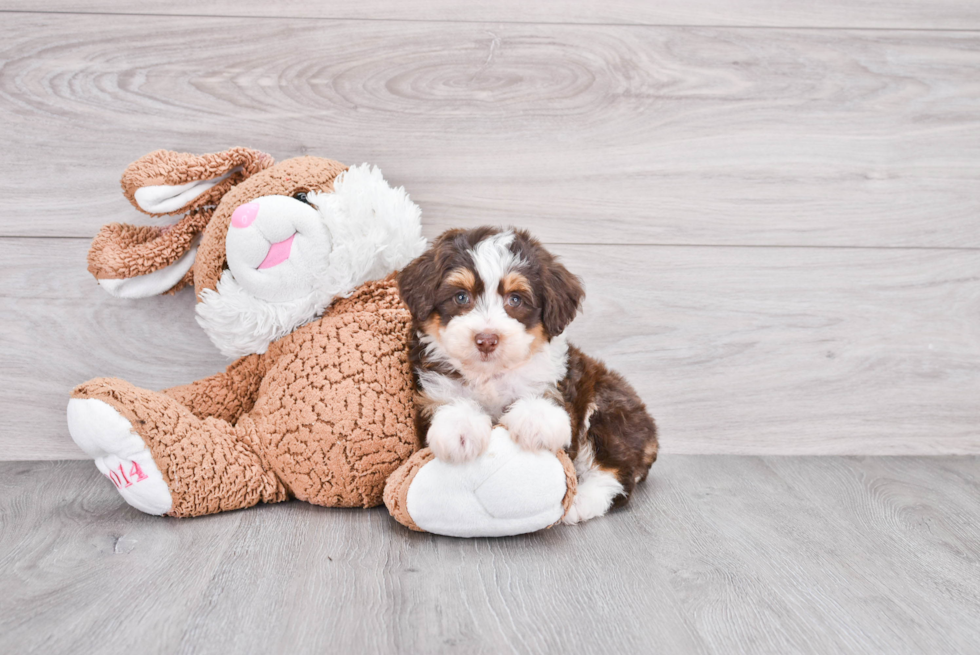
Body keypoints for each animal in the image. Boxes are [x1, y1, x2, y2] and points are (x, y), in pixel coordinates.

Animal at [396, 226, 660, 524]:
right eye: (461, 297)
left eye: (515, 299)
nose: (486, 340)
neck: (491, 374)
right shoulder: (432, 389)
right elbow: (450, 403)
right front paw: (461, 430)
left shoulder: (556, 384)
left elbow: (543, 402)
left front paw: (535, 421)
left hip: (609, 409)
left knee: (613, 471)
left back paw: (582, 500)